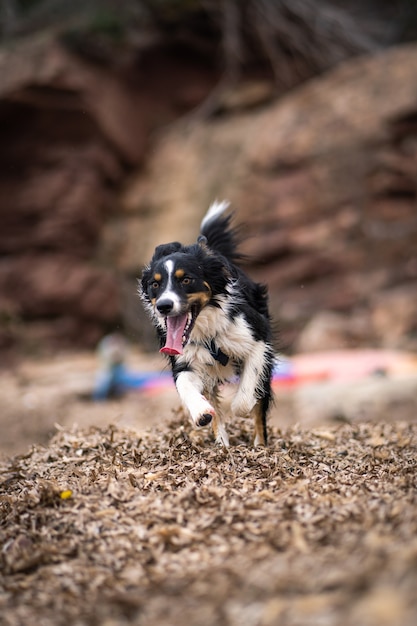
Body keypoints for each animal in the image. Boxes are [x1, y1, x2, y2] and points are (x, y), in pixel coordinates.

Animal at [140, 200, 274, 444]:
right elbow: (185, 384)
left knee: (260, 404)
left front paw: (241, 406)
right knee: (214, 404)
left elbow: (248, 390)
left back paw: (259, 445)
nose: (163, 305)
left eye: (186, 280)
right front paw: (201, 412)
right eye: (155, 284)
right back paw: (222, 443)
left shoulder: (258, 337)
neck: (206, 331)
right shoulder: (184, 359)